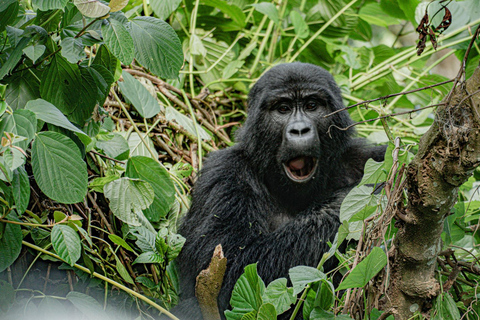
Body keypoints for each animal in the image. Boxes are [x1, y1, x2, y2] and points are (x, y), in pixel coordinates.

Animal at [172, 63, 386, 320]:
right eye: (283, 109)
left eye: (311, 105)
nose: (300, 130)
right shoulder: (223, 174)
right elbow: (232, 271)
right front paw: (363, 193)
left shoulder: (364, 157)